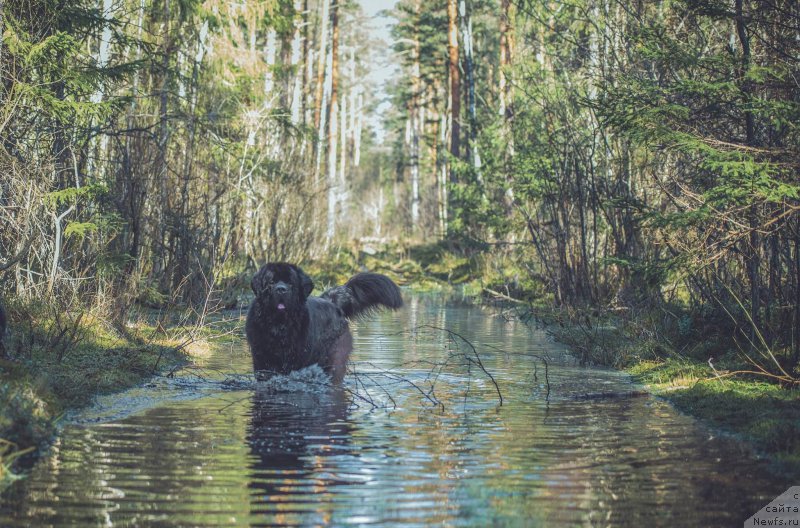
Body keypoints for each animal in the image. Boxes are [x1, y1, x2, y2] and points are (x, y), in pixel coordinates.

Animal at [244, 264, 404, 384]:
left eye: (290, 283)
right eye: (271, 282)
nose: (281, 289)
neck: (279, 325)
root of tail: (332, 302)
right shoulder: (261, 355)